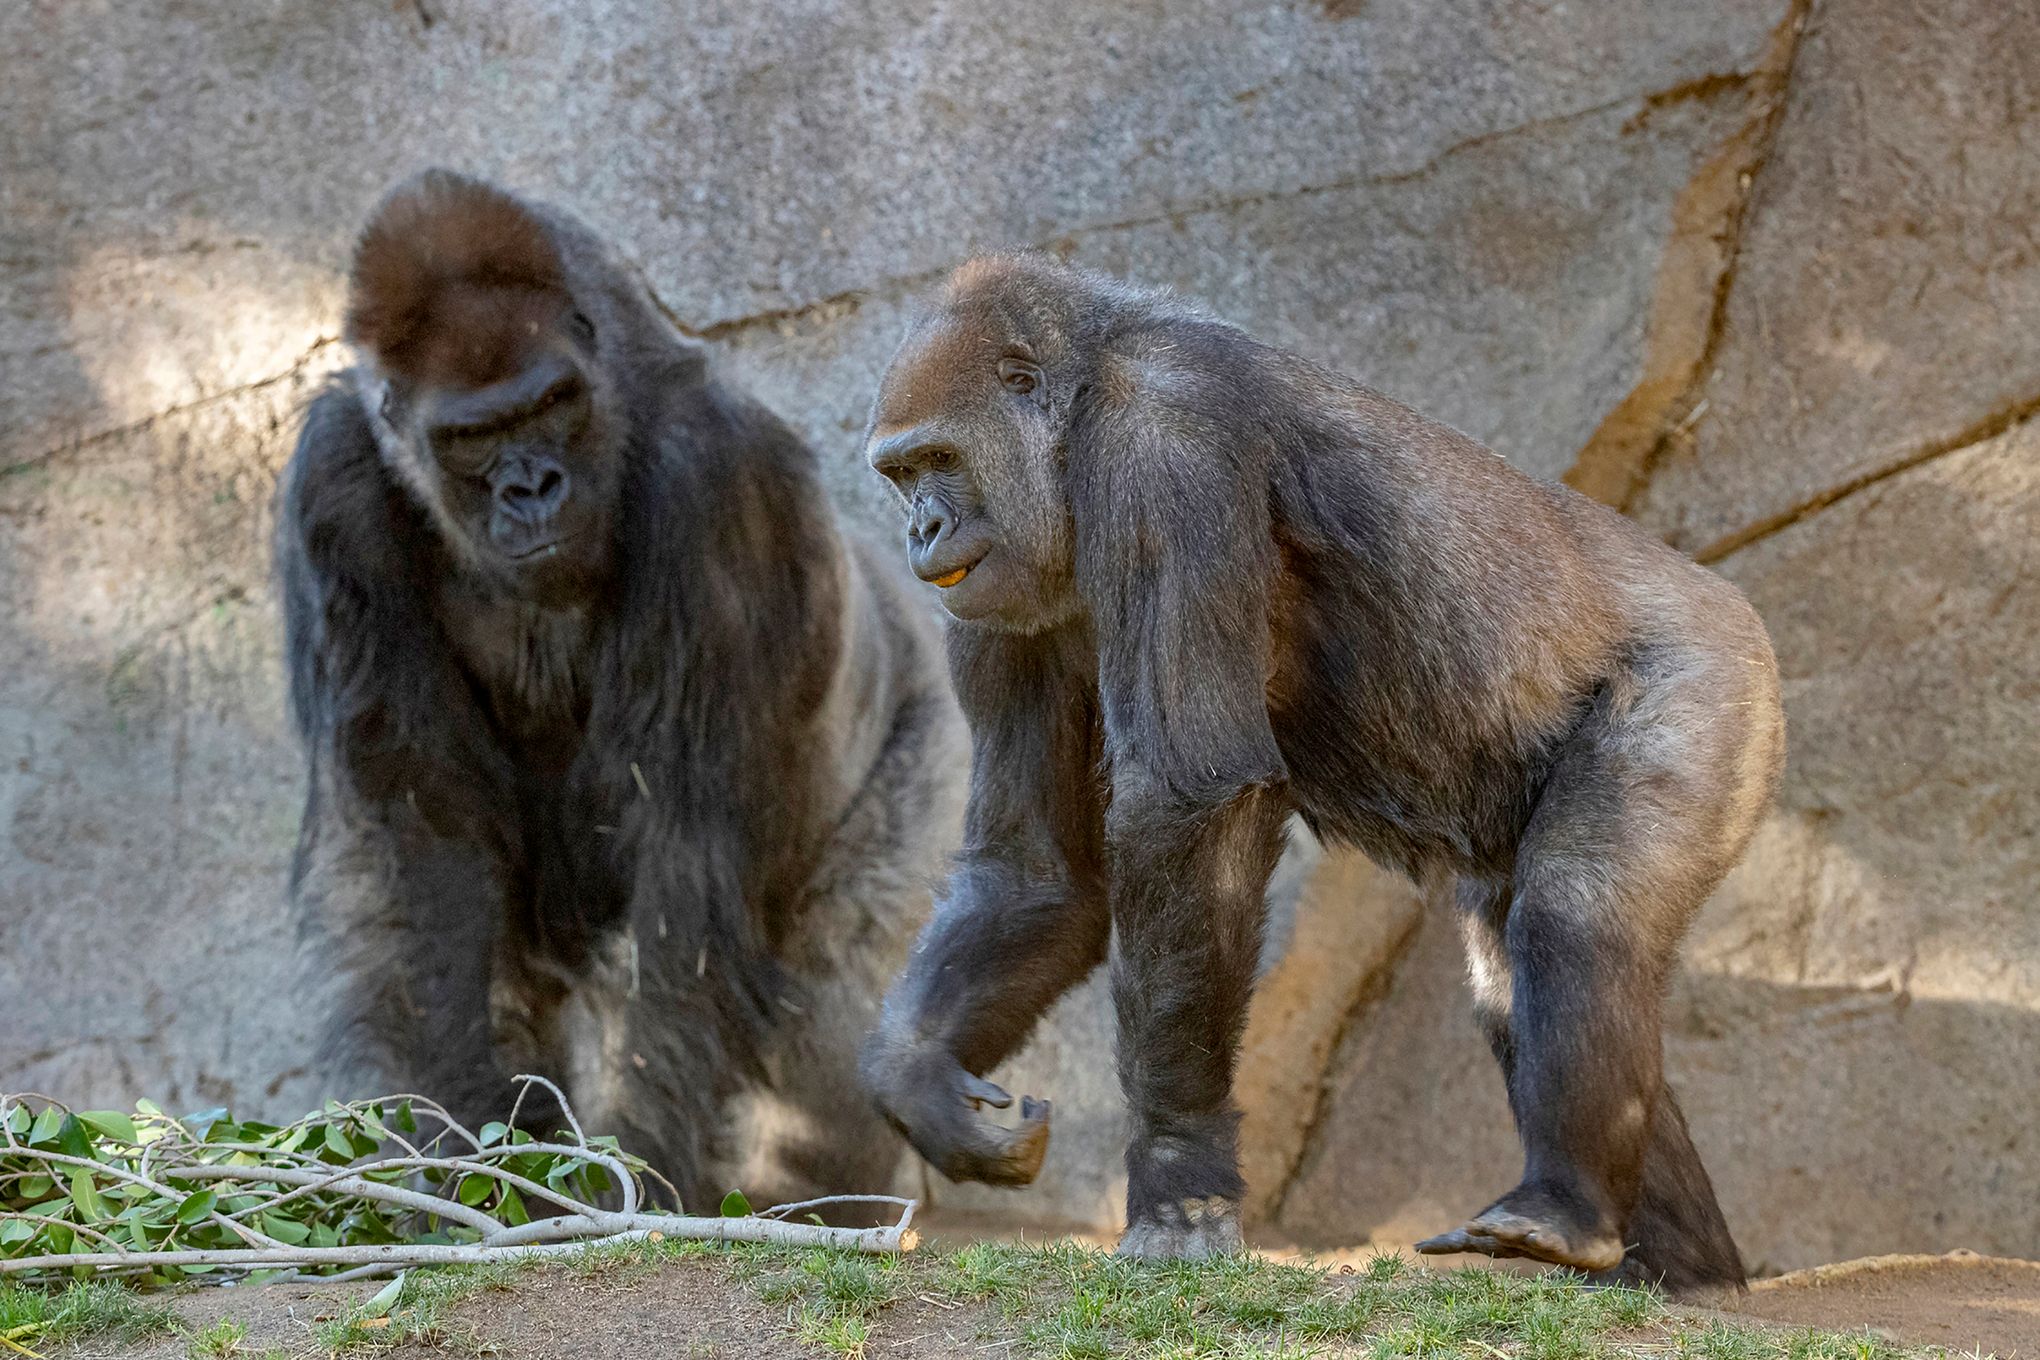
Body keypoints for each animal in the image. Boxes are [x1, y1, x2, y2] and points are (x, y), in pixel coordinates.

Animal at [275, 173, 966, 1215]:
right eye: (470, 438)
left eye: (553, 404)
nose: (531, 488)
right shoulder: (336, 483)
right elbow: (423, 852)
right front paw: (460, 1159)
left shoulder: (718, 481)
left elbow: (680, 887)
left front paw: (626, 1177)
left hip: (929, 754)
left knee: (830, 1046)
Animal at [852, 249, 1778, 1296]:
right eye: (900, 476)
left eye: (939, 463)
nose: (923, 530)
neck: (1080, 397)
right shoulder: (989, 607)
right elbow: (1036, 876)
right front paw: (918, 1076)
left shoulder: (1162, 442)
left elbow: (1190, 802)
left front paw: (1178, 1171)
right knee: (1516, 972)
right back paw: (1678, 1266)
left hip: (1713, 676)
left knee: (1577, 911)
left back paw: (1569, 1208)